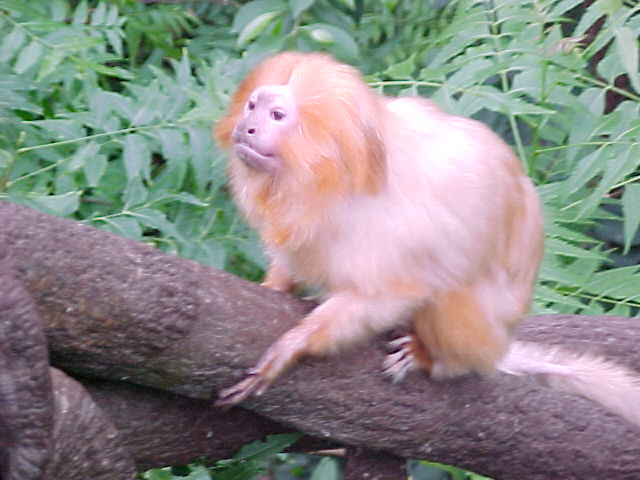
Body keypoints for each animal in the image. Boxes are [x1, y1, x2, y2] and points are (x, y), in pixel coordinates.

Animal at [214, 51, 640, 427]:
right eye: (252, 107)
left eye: (277, 116)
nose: (247, 127)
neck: (337, 179)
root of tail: (499, 347)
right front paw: (276, 286)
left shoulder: (402, 229)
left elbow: (390, 293)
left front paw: (293, 346)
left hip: (483, 335)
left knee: (449, 290)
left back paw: (435, 360)